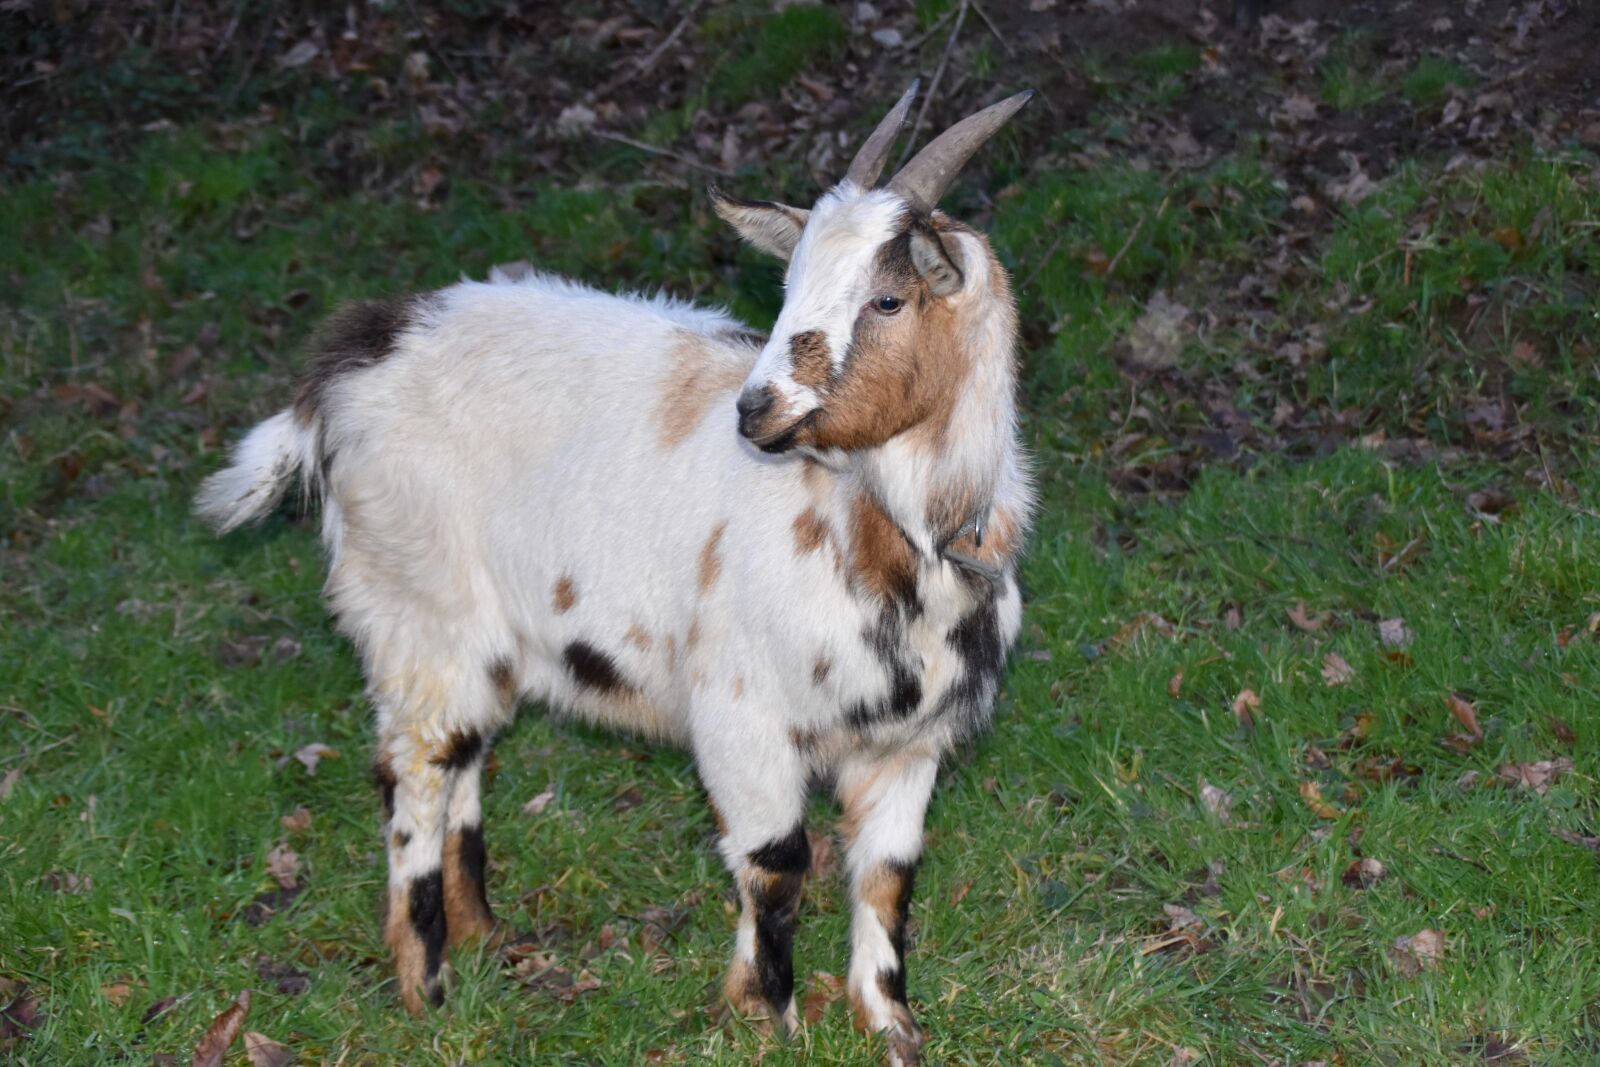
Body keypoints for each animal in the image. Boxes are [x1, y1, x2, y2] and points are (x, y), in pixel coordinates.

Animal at [195, 82, 1034, 1065]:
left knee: (466, 754)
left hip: (488, 636)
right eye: (787, 287)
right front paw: (768, 1019)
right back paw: (425, 984)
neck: (882, 540)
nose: (754, 411)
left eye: (889, 298)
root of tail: (356, 353)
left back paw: (487, 941)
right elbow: (778, 863)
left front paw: (888, 1022)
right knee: (419, 768)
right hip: (416, 609)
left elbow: (887, 878)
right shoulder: (743, 714)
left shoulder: (908, 744)